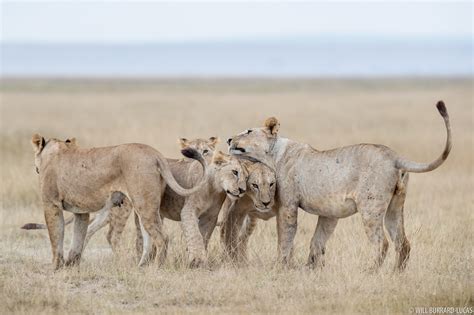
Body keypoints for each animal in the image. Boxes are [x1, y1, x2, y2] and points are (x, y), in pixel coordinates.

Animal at [29, 135, 207, 270]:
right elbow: (78, 238)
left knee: (162, 238)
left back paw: (157, 267)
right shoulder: (81, 211)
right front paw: (71, 265)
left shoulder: (51, 204)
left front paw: (55, 267)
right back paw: (140, 267)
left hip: (142, 204)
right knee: (148, 239)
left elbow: (56, 236)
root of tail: (156, 154)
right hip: (143, 207)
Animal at [226, 102, 452, 272]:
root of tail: (394, 156)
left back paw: (370, 271)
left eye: (248, 131)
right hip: (395, 207)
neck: (273, 155)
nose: (228, 139)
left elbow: (285, 237)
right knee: (403, 243)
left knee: (382, 243)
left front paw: (281, 266)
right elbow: (317, 242)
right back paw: (397, 273)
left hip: (370, 208)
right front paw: (310, 269)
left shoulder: (288, 205)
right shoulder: (329, 212)